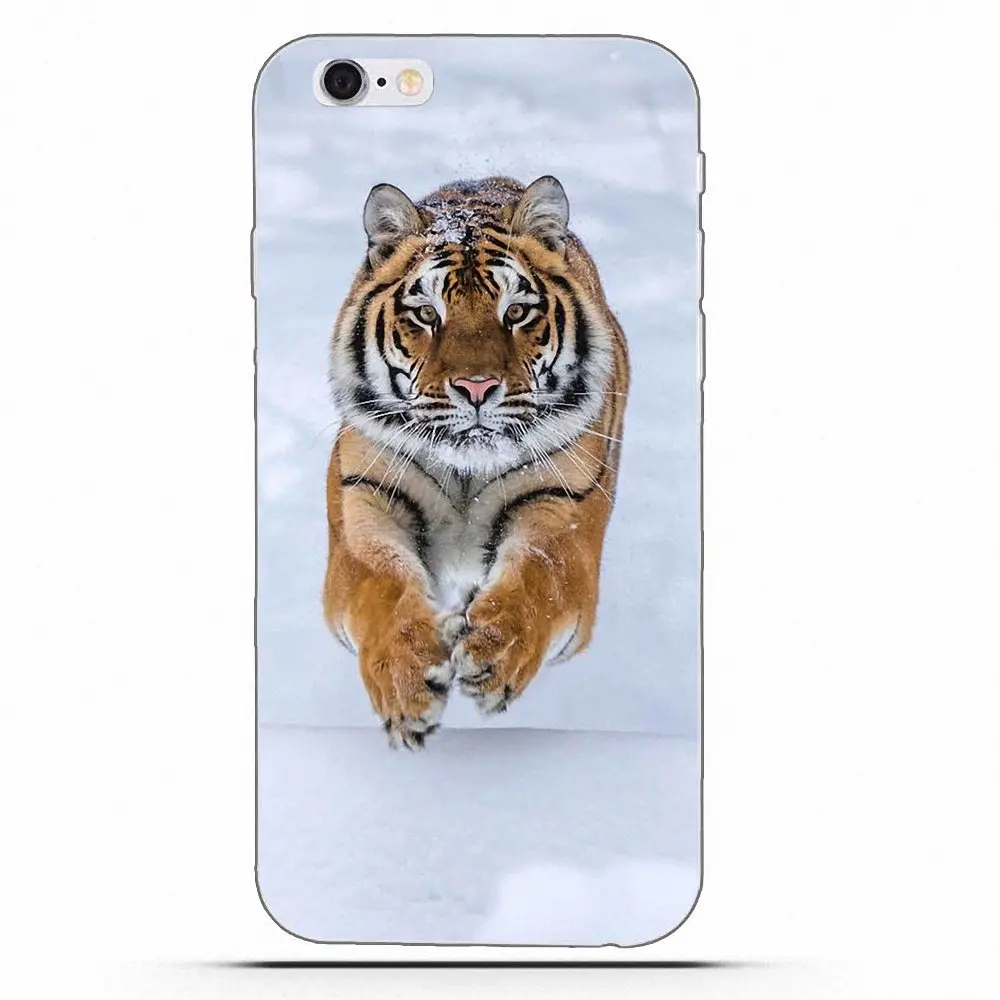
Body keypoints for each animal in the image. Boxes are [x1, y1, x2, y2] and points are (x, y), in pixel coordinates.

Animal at [323, 175, 630, 748]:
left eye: (516, 312)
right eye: (426, 314)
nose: (477, 388)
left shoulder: (566, 505)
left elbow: (539, 572)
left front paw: (495, 652)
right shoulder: (365, 497)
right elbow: (383, 582)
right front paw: (407, 680)